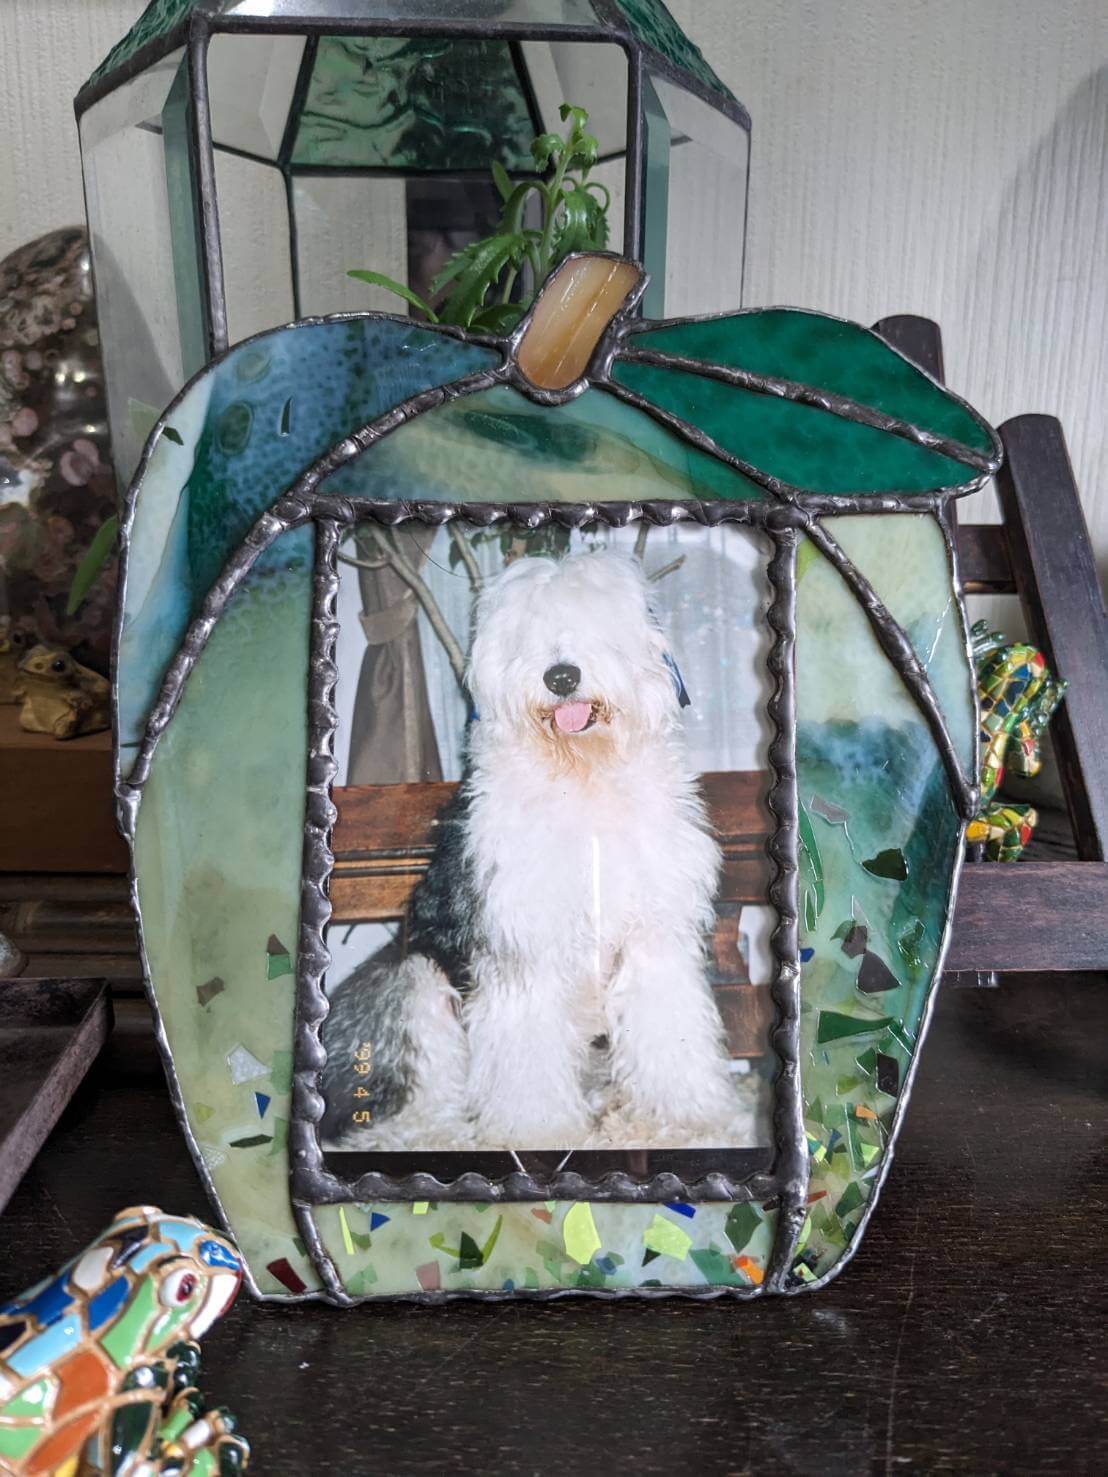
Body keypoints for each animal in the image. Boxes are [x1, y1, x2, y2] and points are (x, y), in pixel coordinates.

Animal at [321, 549, 757, 1152]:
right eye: (526, 632)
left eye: (596, 621)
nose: (561, 676)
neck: (584, 779)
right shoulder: (522, 943)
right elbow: (527, 1046)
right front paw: (539, 1131)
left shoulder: (656, 937)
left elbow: (669, 1030)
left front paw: (688, 1116)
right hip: (414, 980)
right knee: (411, 1102)